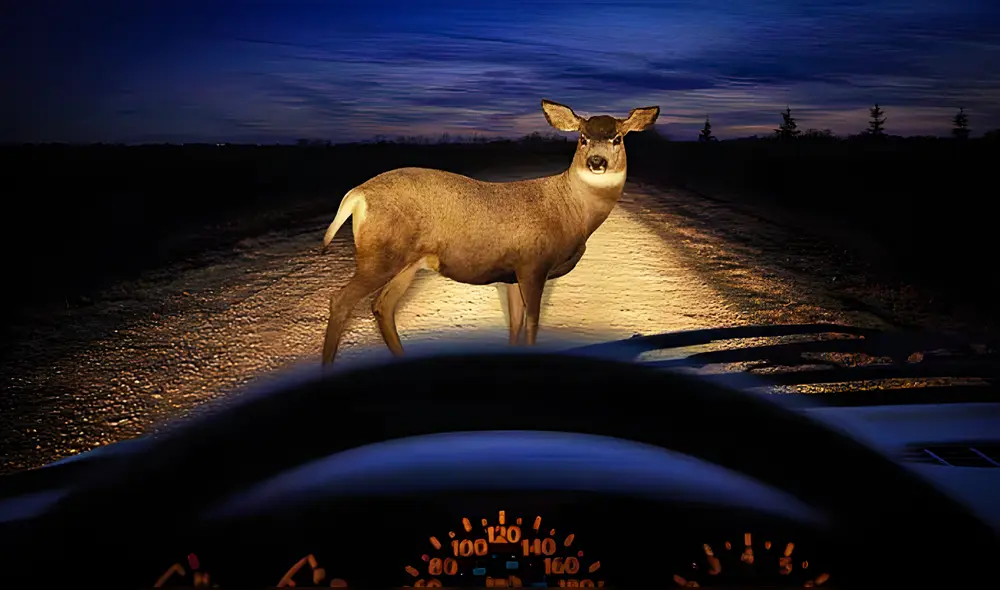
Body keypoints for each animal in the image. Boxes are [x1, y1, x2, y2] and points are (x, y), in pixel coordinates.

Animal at [319, 99, 659, 366]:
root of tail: (357, 195)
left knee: (382, 306)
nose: (596, 162)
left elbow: (515, 324)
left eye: (617, 138)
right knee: (341, 300)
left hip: (408, 262)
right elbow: (533, 323)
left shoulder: (512, 274)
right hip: (380, 255)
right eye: (583, 138)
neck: (572, 211)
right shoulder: (533, 264)